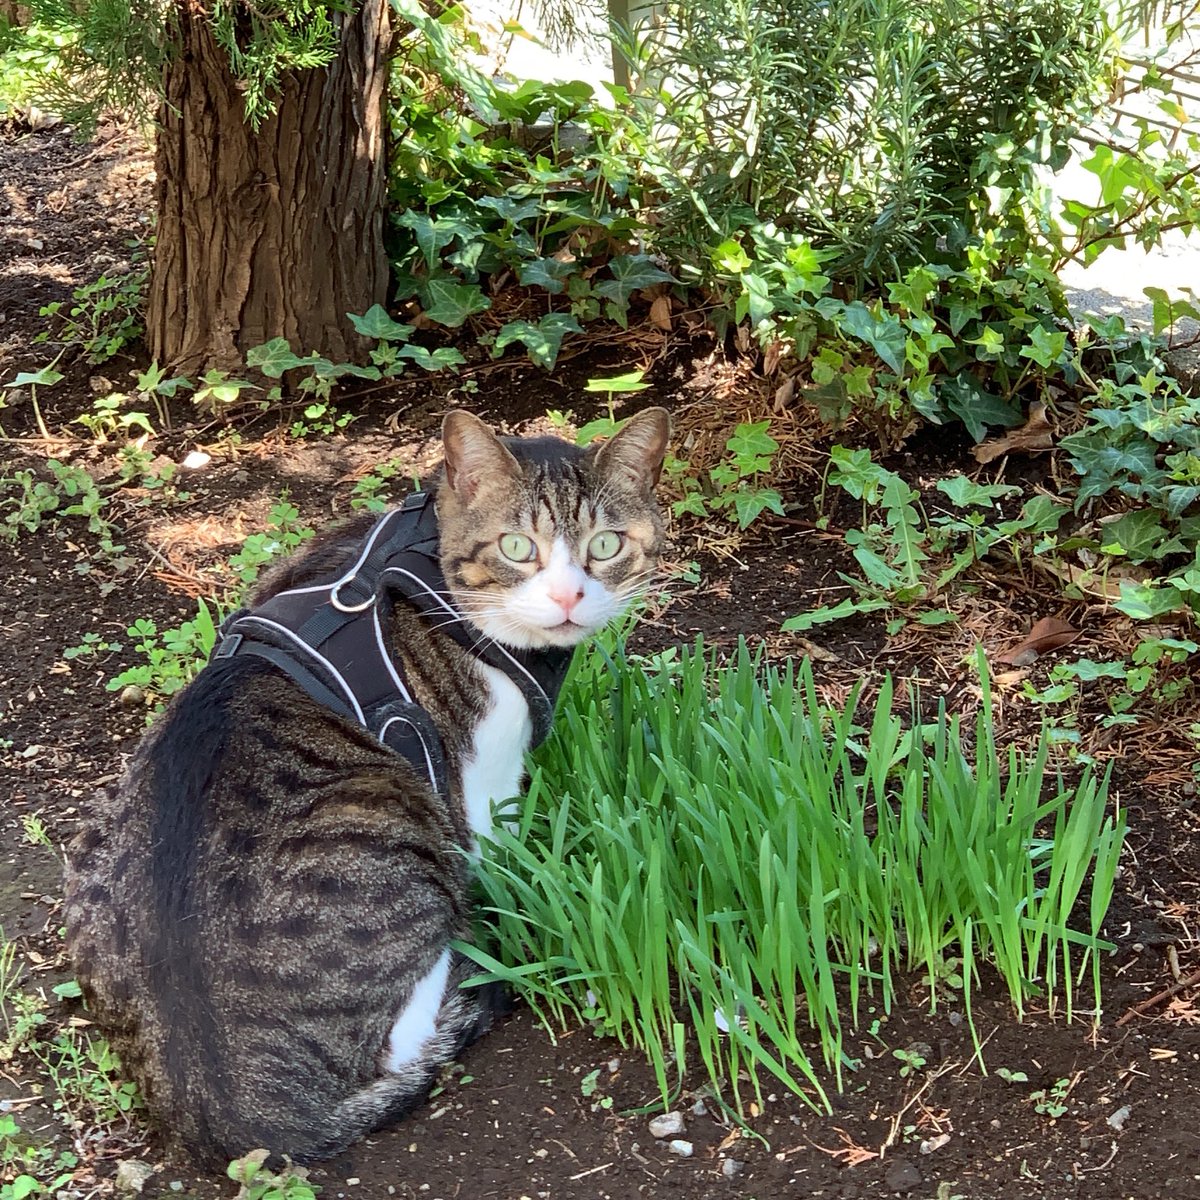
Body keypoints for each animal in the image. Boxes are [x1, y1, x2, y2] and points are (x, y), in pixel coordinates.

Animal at [63, 406, 670, 1169]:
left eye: (605, 545)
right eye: (516, 546)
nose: (568, 597)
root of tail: (234, 1115)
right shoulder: (480, 782)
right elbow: (496, 850)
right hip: (395, 823)